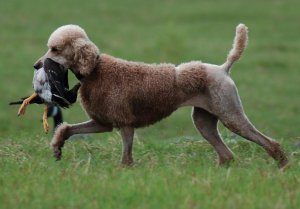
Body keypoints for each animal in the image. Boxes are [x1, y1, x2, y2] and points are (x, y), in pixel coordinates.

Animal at [33, 23, 288, 169]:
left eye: (55, 49)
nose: (36, 65)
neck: (96, 70)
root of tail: (223, 68)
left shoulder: (125, 124)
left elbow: (126, 157)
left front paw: (124, 173)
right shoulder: (103, 123)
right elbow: (66, 129)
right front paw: (57, 149)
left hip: (230, 114)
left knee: (267, 142)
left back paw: (283, 165)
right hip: (204, 121)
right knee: (227, 155)